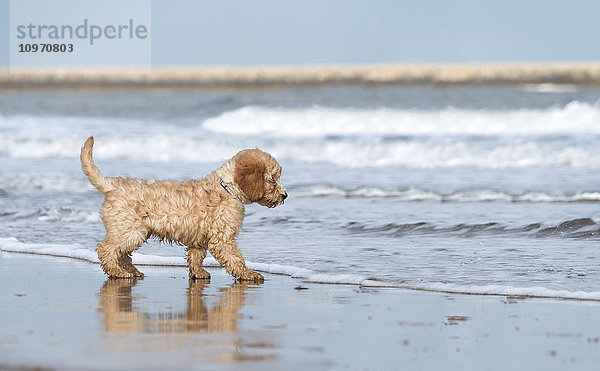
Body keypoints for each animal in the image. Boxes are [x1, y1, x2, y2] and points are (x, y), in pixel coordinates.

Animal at [81, 137, 288, 282]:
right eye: (272, 179)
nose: (285, 195)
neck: (227, 188)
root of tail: (113, 185)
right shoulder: (223, 238)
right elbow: (235, 257)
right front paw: (247, 273)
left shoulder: (199, 237)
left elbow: (196, 256)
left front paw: (198, 272)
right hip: (130, 229)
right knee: (106, 249)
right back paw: (117, 271)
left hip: (135, 231)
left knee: (122, 253)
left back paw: (130, 270)